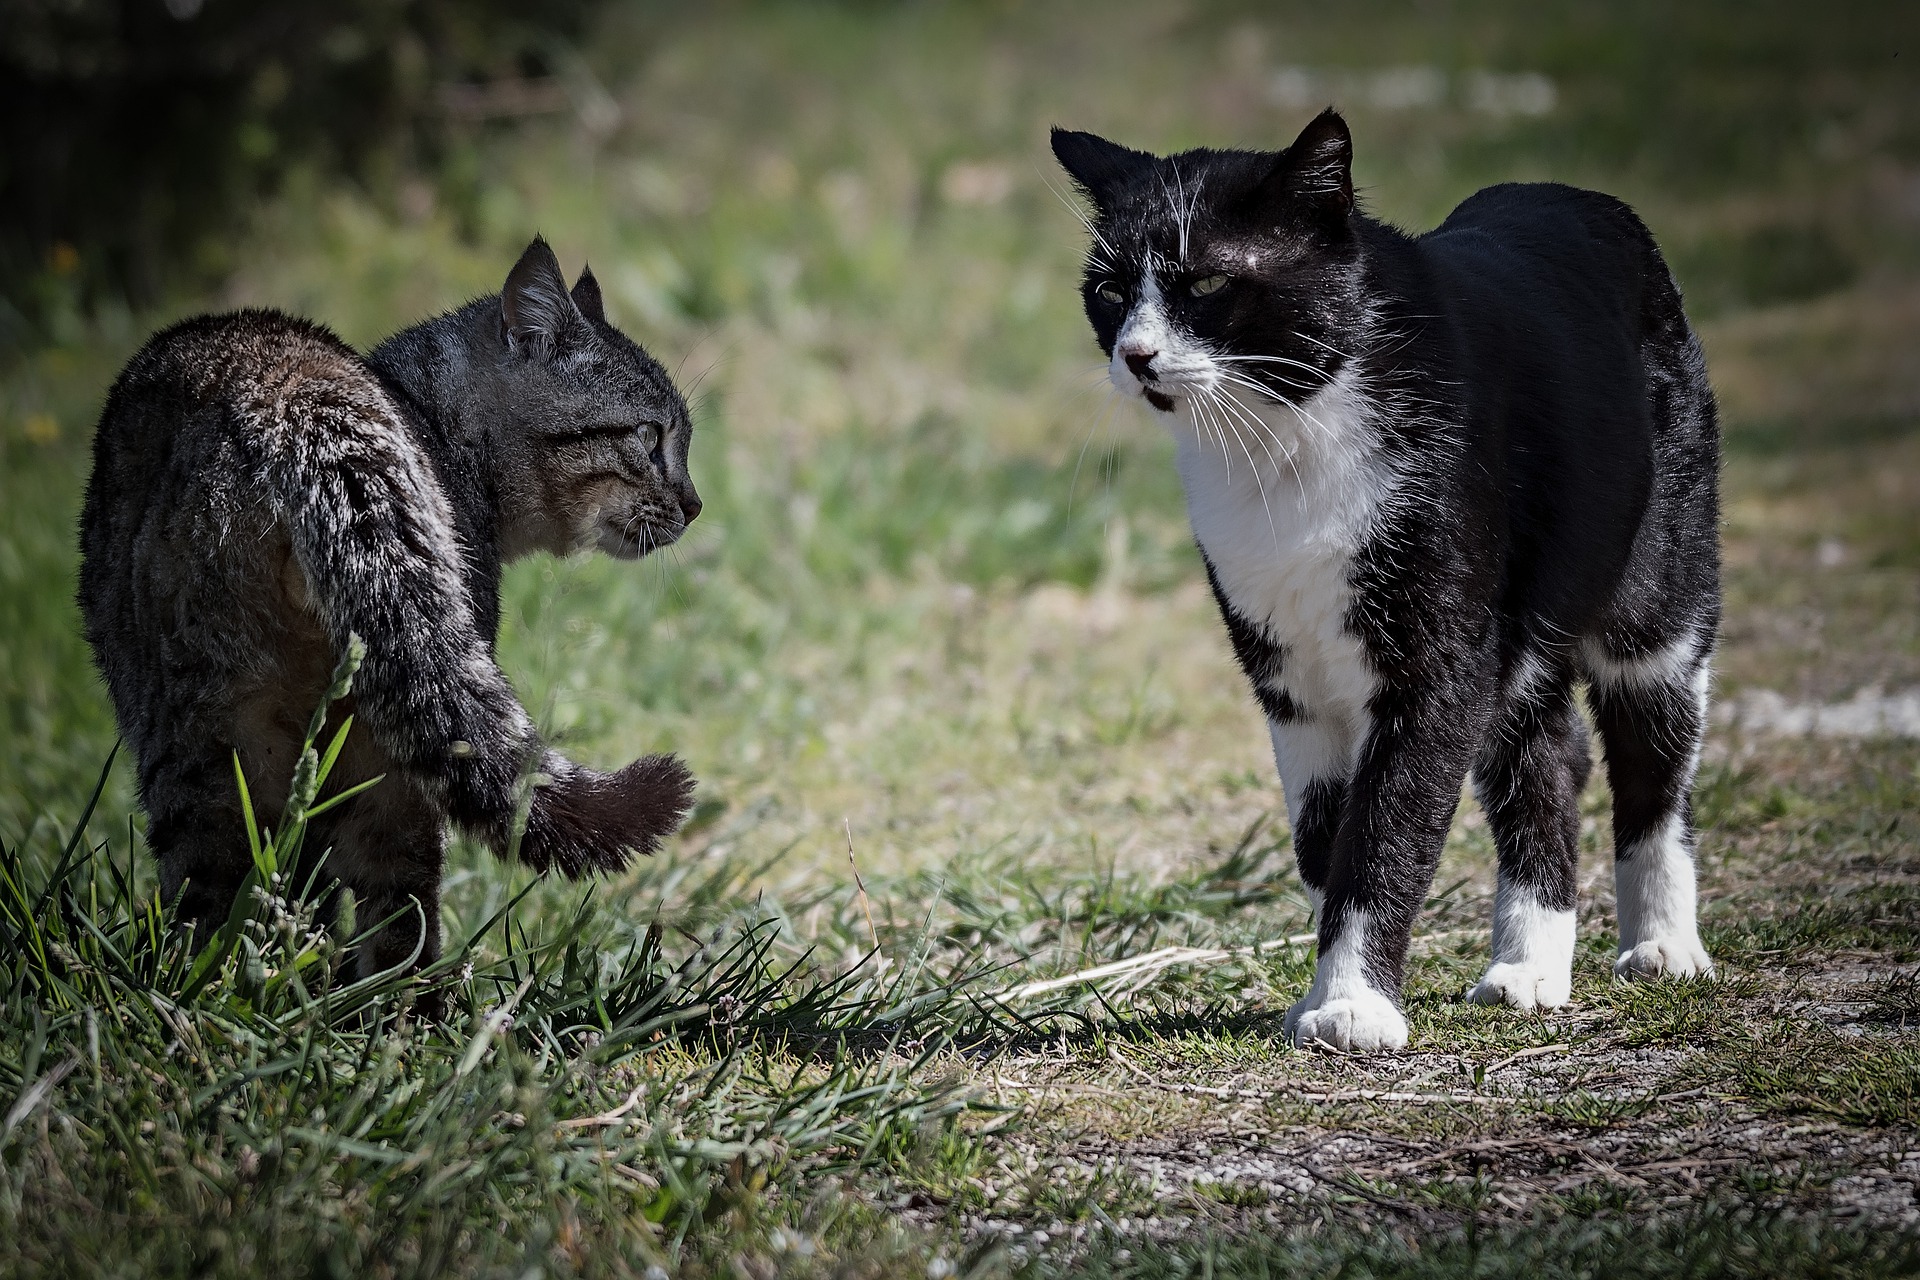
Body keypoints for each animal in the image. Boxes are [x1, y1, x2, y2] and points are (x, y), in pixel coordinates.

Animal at [1059, 112, 1720, 1051]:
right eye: (1110, 290)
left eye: (1211, 280)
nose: (1137, 353)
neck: (1285, 439)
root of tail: (1577, 195)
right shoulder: (1291, 680)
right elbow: (1323, 838)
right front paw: (1324, 988)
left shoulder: (1435, 663)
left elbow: (1385, 831)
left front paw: (1353, 1005)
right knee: (1547, 753)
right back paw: (1530, 966)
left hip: (1660, 582)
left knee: (1652, 744)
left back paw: (1664, 945)